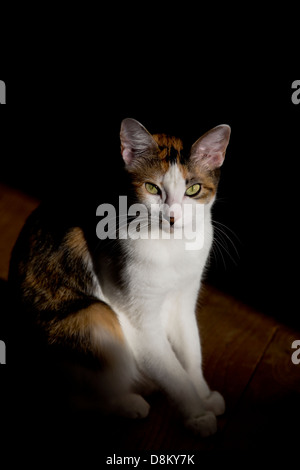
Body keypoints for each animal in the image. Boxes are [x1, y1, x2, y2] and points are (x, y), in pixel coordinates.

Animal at [8, 117, 230, 436]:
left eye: (193, 189)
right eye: (152, 187)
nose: (172, 217)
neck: (171, 247)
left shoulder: (183, 300)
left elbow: (190, 352)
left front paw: (203, 394)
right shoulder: (139, 321)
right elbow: (173, 372)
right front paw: (196, 413)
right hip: (94, 316)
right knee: (75, 402)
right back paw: (128, 402)